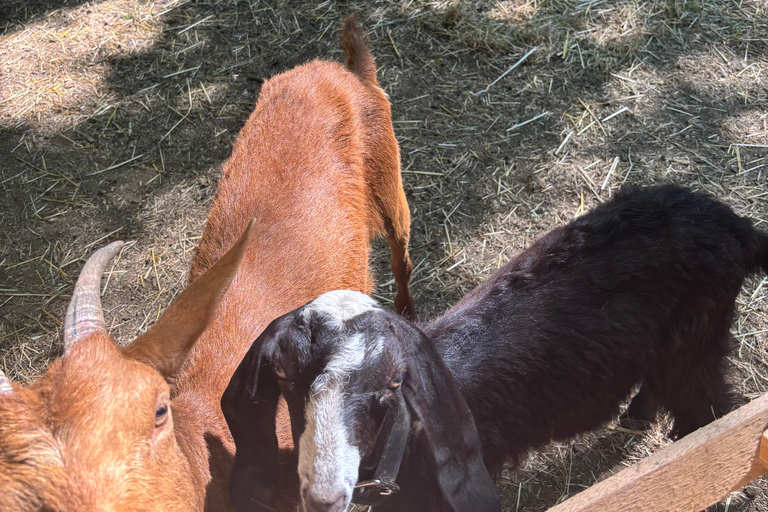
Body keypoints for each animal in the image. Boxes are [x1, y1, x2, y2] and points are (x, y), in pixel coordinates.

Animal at [222, 186, 768, 512]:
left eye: (393, 384)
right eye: (285, 379)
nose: (324, 495)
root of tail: (736, 226)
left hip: (696, 341)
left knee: (713, 411)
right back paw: (638, 413)